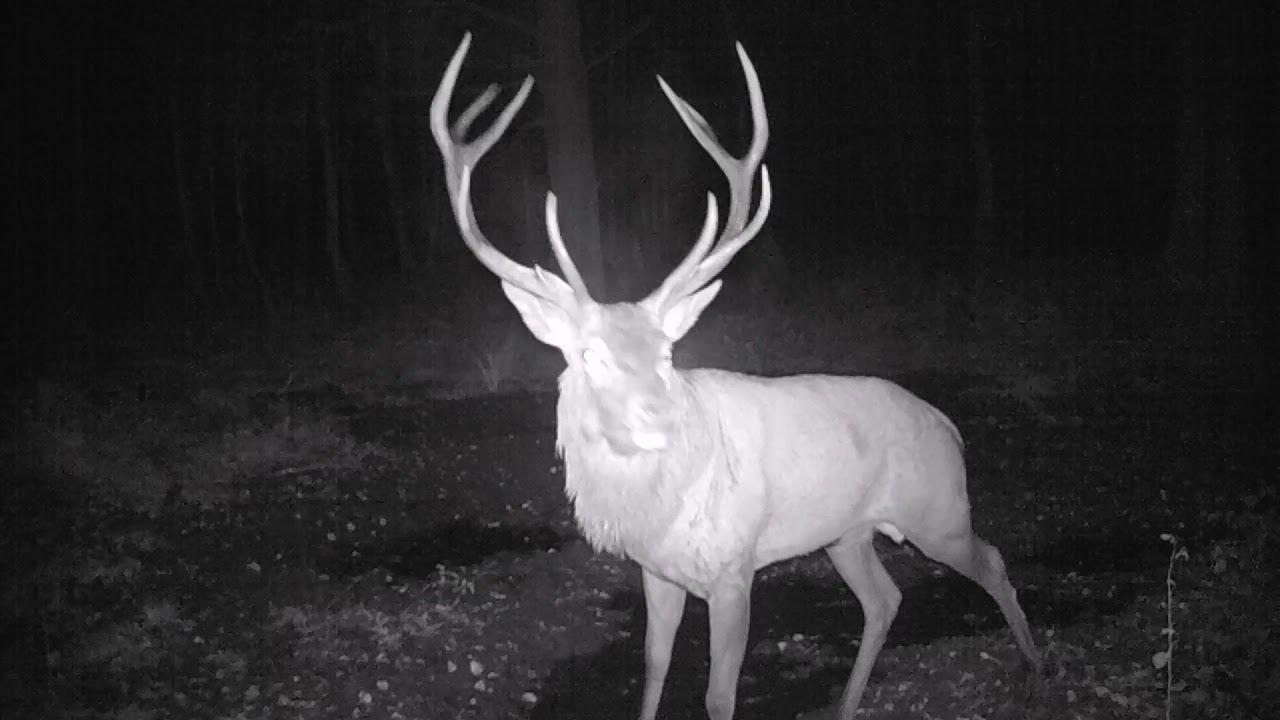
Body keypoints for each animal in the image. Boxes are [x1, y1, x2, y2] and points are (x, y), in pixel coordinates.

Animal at [429, 33, 1043, 720]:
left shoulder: (734, 570)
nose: (660, 415)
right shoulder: (657, 571)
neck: (657, 506)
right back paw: (849, 704)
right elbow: (654, 664)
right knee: (885, 598)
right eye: (590, 355)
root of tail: (948, 426)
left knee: (991, 560)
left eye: (669, 352)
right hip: (847, 533)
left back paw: (1037, 672)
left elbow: (719, 695)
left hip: (938, 510)